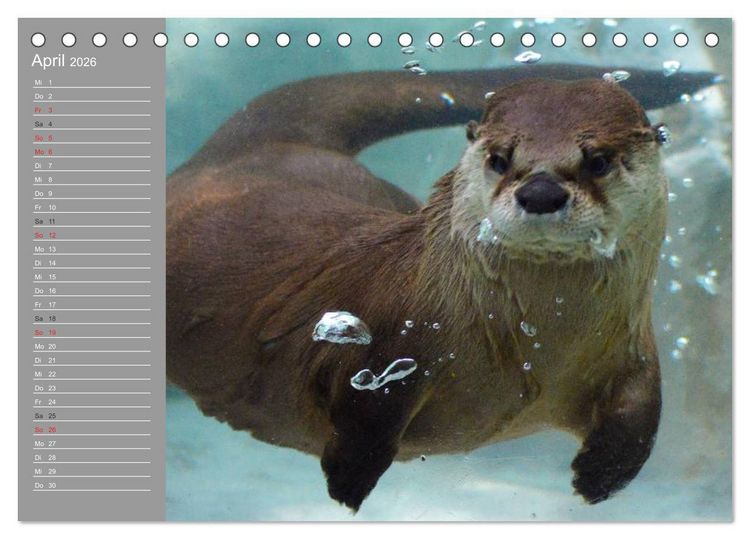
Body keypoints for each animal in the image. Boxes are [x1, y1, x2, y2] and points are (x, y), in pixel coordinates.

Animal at [166, 65, 716, 511]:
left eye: (598, 160)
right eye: (500, 158)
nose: (540, 191)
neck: (538, 347)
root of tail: (249, 151)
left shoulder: (631, 349)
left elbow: (643, 413)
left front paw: (601, 476)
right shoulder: (389, 339)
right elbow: (366, 410)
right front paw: (349, 479)